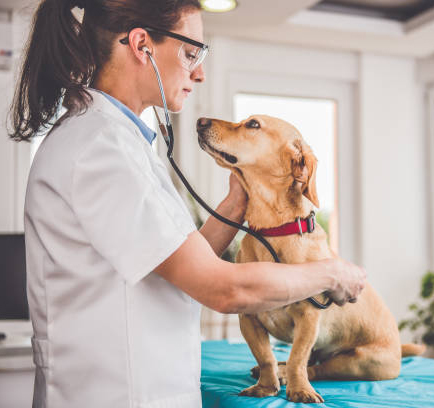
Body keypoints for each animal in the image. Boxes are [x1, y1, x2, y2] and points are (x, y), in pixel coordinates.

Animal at [198, 115, 428, 404]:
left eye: (253, 124)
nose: (199, 121)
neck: (273, 231)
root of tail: (398, 347)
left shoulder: (308, 318)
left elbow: (297, 358)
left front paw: (299, 389)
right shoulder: (248, 318)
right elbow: (265, 357)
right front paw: (265, 386)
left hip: (360, 362)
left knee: (317, 367)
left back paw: (288, 375)